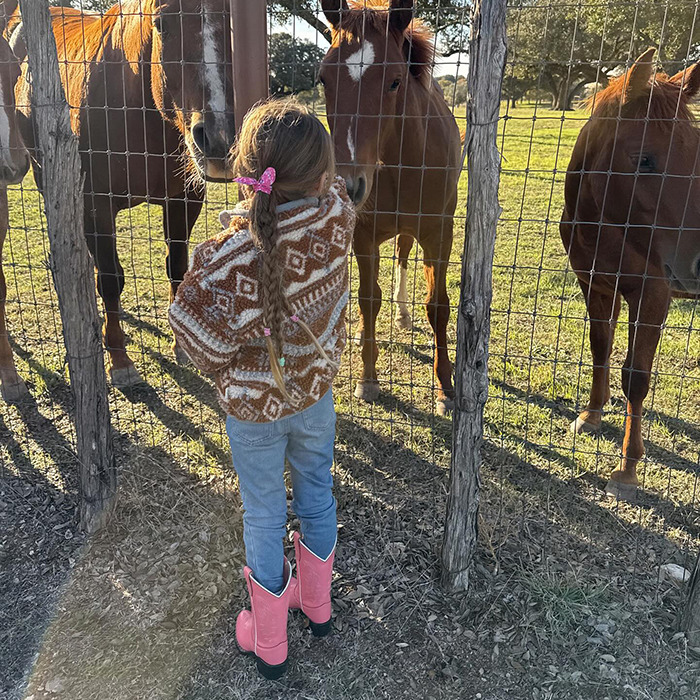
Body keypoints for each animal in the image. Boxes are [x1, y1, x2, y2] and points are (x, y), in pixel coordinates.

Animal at [11, 0, 235, 387]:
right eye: (162, 24)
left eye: (230, 23)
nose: (218, 140)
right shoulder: (95, 207)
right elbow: (111, 280)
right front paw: (118, 360)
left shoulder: (184, 200)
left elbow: (177, 266)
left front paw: (180, 345)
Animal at [319, 0, 461, 415]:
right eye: (323, 79)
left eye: (395, 81)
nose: (349, 184)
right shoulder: (363, 235)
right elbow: (368, 300)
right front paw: (367, 379)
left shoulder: (438, 233)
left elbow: (438, 305)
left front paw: (446, 389)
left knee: (402, 255)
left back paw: (402, 313)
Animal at [561, 48, 700, 497]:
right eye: (643, 160)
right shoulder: (595, 286)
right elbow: (600, 347)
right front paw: (591, 414)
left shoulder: (653, 295)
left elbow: (636, 377)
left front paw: (627, 467)